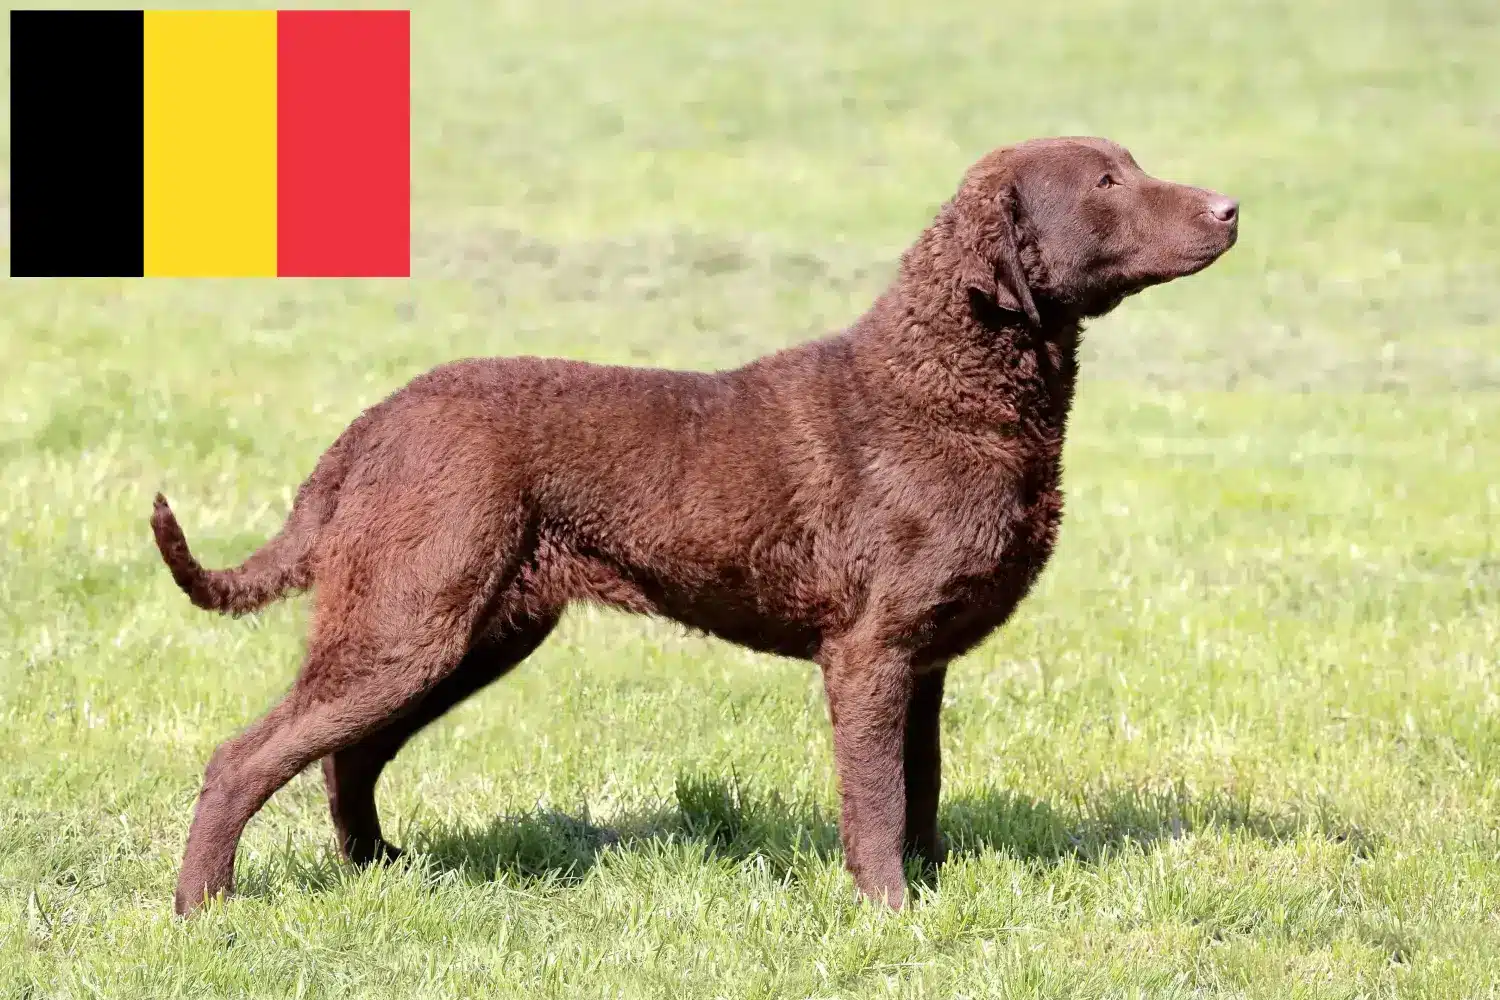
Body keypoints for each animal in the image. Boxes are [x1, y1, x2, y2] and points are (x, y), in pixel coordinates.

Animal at [152, 134, 1236, 917]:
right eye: (1107, 181)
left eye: (1132, 163)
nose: (1231, 207)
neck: (945, 389)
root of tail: (370, 426)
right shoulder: (870, 650)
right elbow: (877, 799)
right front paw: (890, 913)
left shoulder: (923, 656)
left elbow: (922, 786)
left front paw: (934, 891)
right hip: (410, 620)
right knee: (247, 756)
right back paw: (206, 907)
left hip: (470, 630)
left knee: (348, 755)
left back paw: (382, 869)